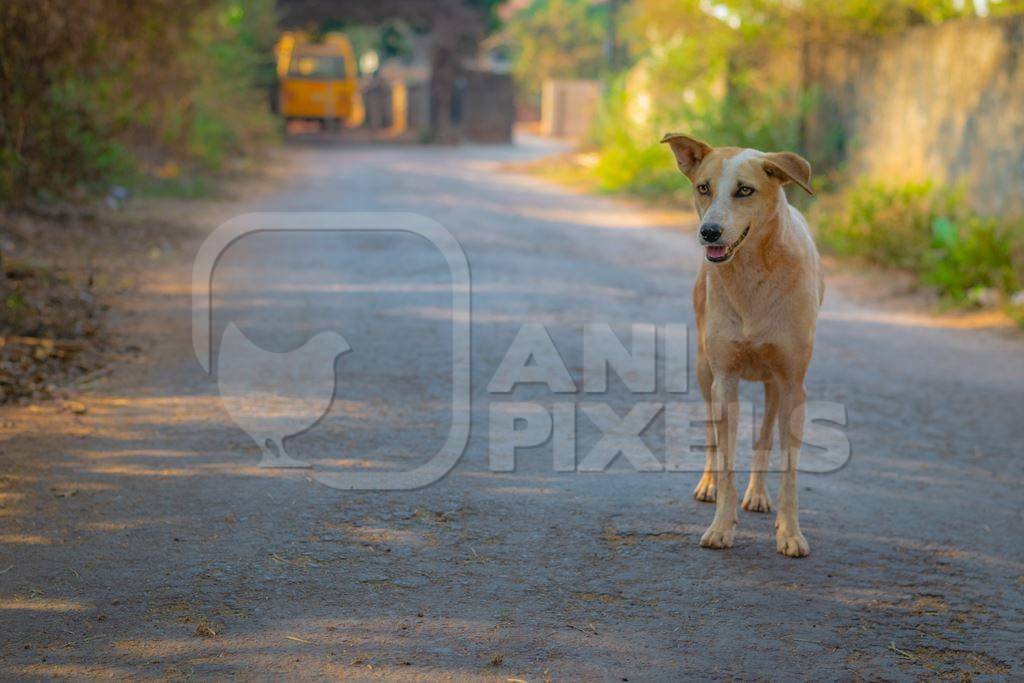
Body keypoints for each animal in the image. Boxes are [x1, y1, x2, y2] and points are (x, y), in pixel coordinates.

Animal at [663, 132, 823, 557]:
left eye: (745, 191)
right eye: (703, 188)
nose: (709, 232)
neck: (754, 273)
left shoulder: (793, 385)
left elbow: (787, 466)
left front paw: (790, 532)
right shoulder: (725, 380)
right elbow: (726, 458)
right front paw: (721, 525)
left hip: (774, 384)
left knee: (765, 435)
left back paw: (758, 495)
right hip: (705, 370)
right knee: (711, 437)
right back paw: (708, 485)